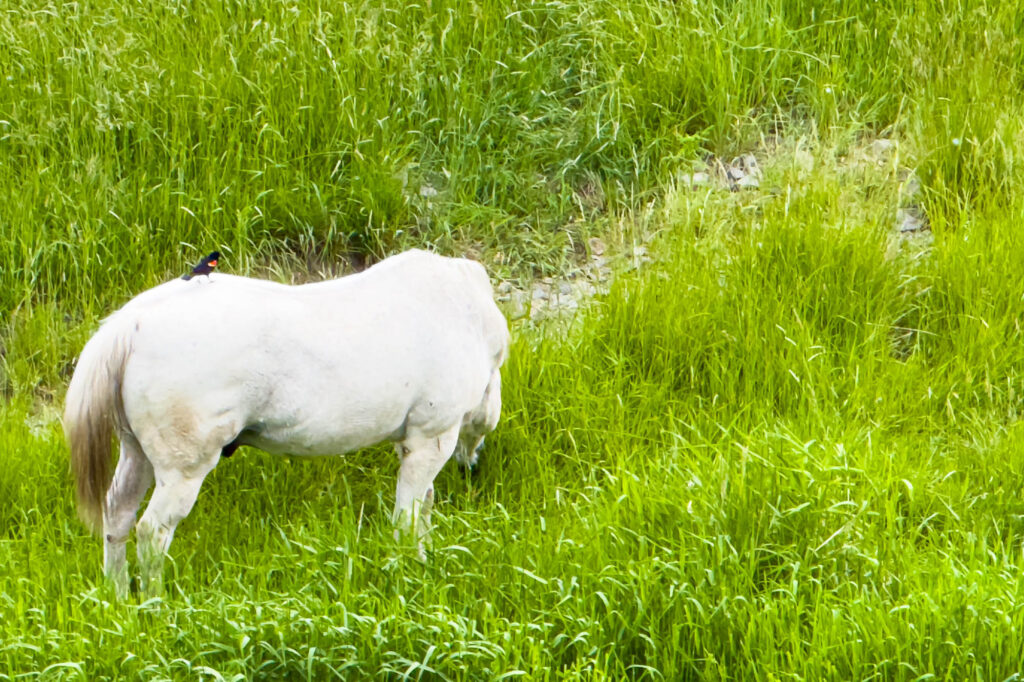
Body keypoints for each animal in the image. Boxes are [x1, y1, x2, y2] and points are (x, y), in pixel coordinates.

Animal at [64, 249, 509, 597]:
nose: (473, 467)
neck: (464, 316)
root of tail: (131, 325)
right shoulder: (430, 438)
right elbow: (408, 518)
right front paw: (415, 568)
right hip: (182, 468)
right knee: (152, 533)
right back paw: (155, 606)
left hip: (135, 451)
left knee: (117, 515)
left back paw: (119, 597)